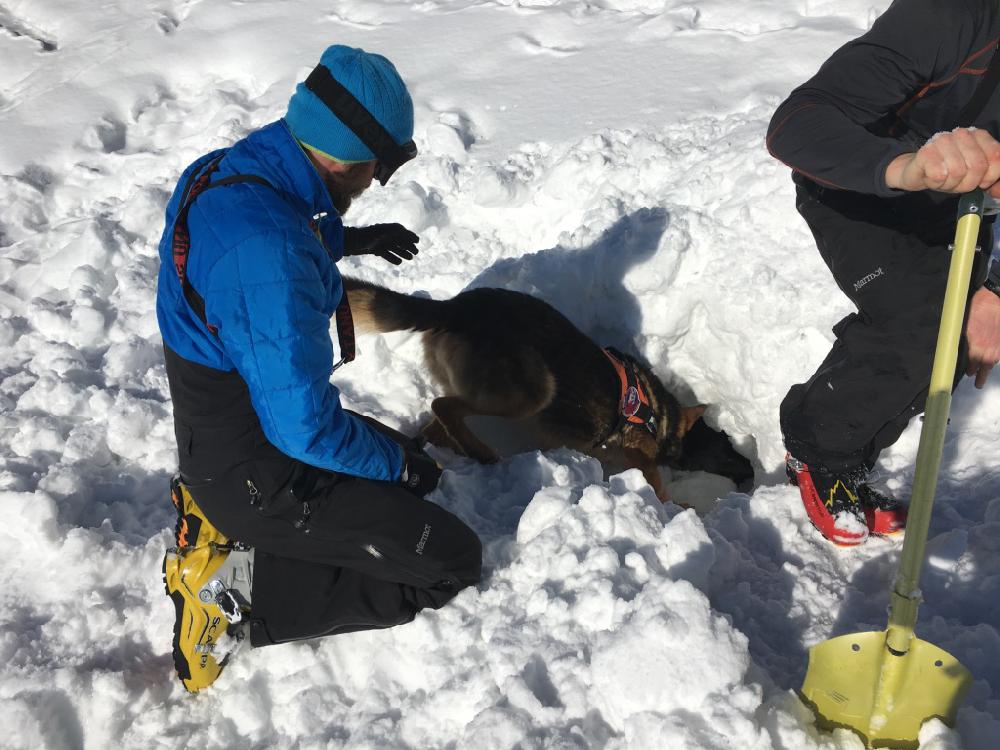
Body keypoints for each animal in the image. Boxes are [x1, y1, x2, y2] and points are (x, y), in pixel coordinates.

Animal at [343, 277, 706, 502]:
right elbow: (658, 486)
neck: (660, 415)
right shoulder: (640, 458)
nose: (683, 460)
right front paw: (677, 508)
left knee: (437, 421)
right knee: (443, 405)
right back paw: (483, 452)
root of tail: (455, 306)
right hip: (532, 392)